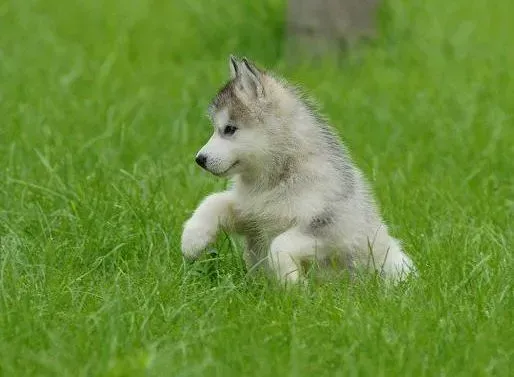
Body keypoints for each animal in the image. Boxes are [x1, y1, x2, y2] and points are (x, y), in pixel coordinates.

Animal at [179, 55, 412, 284]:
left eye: (229, 129)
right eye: (216, 128)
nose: (200, 159)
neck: (278, 178)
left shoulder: (331, 229)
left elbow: (279, 245)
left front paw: (291, 283)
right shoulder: (252, 214)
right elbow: (214, 202)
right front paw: (192, 240)